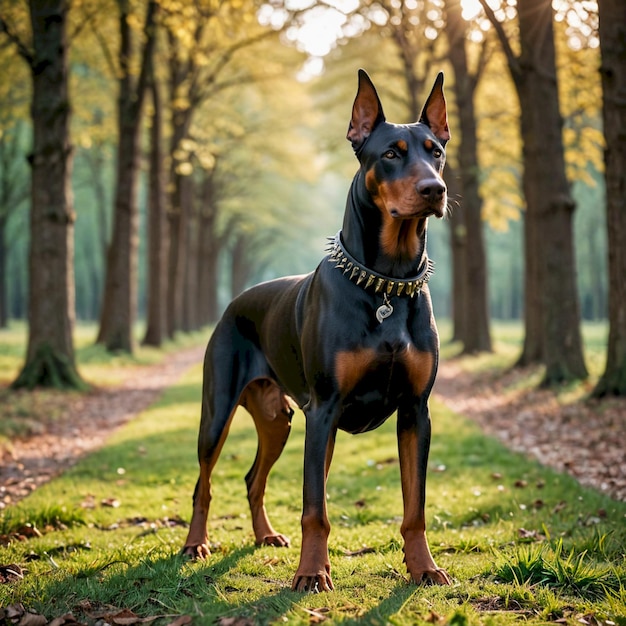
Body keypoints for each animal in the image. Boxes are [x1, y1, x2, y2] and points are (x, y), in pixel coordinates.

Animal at [183, 69, 450, 588]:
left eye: (436, 151)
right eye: (391, 154)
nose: (435, 189)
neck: (387, 283)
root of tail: (234, 302)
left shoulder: (416, 412)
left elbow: (415, 507)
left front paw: (423, 567)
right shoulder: (324, 409)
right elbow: (315, 510)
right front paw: (310, 574)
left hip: (278, 418)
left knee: (254, 478)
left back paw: (265, 536)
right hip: (221, 410)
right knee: (204, 481)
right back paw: (195, 544)